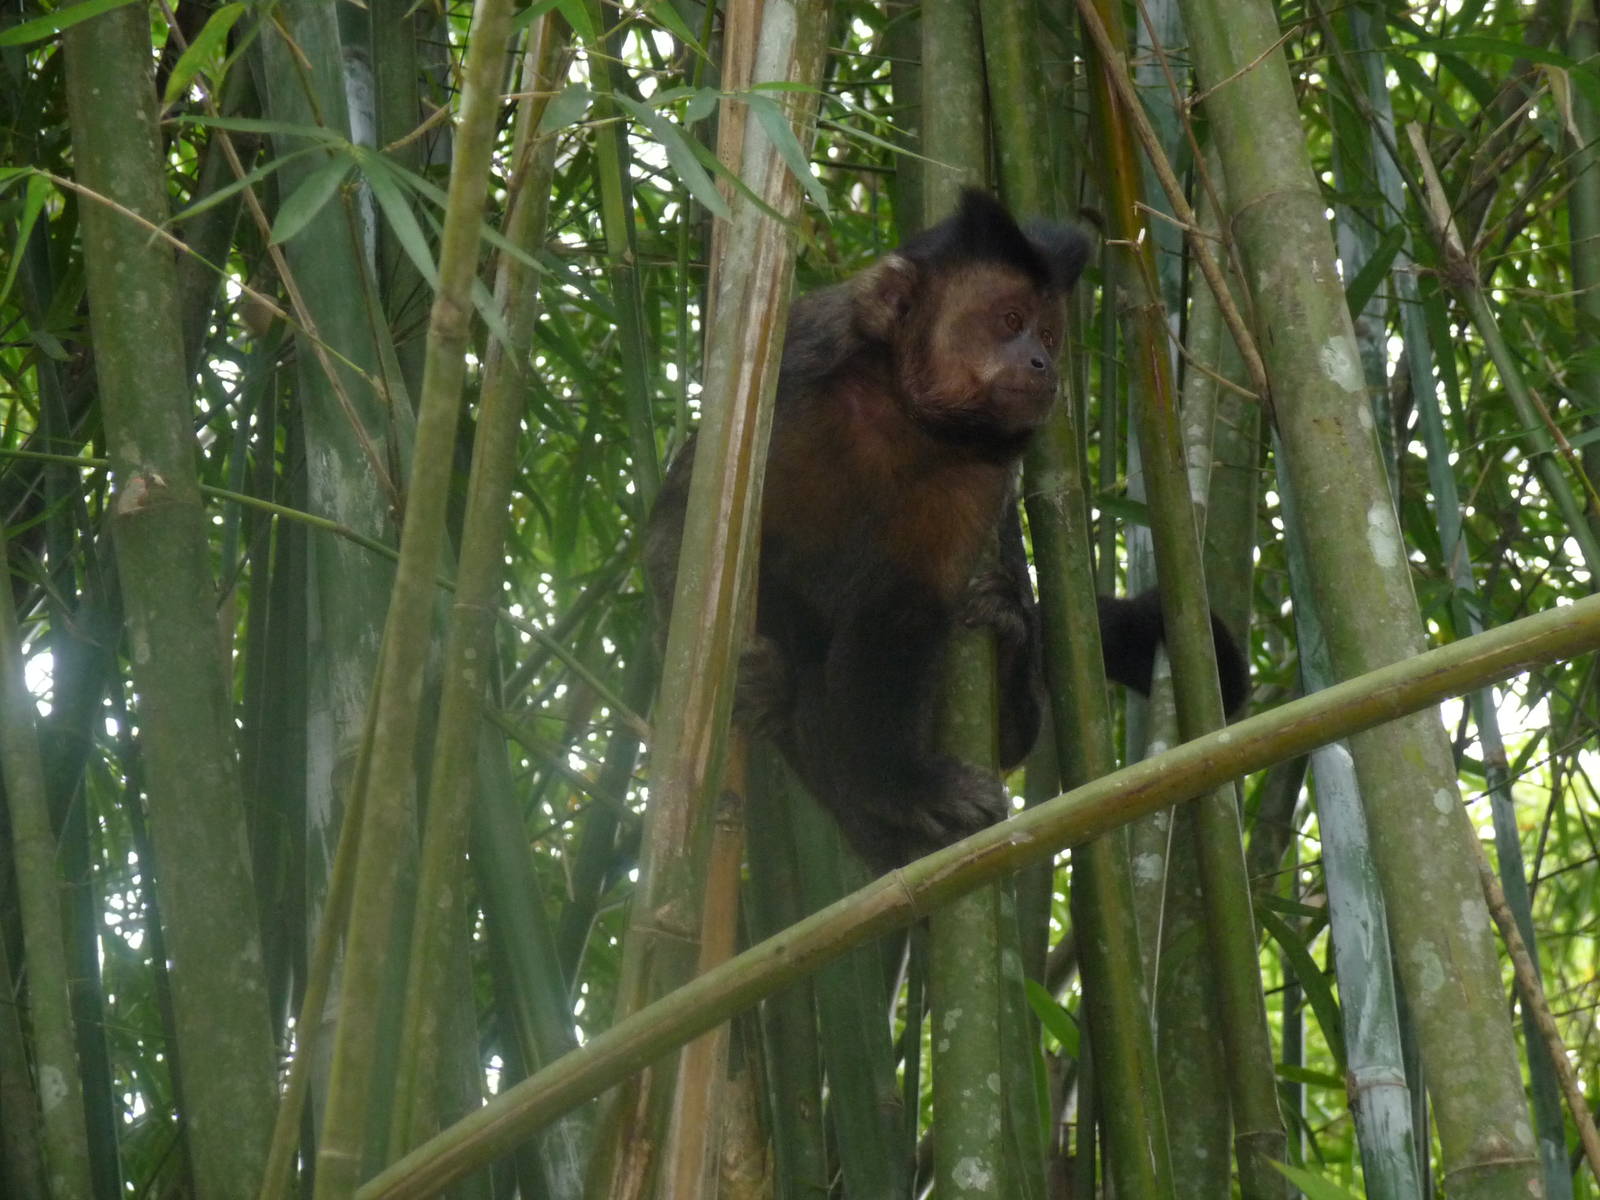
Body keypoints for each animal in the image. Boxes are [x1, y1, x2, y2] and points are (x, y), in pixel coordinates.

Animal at [646, 189, 1247, 871]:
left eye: (1048, 334)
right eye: (1010, 320)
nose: (1042, 363)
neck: (898, 409)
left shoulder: (976, 471)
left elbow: (904, 603)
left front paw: (899, 787)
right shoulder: (791, 381)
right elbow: (688, 536)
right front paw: (762, 671)